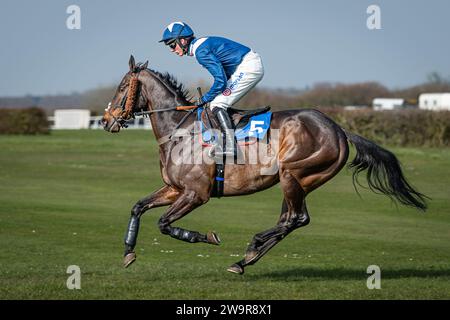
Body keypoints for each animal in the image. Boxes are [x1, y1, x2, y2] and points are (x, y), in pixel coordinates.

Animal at [100, 55, 428, 276]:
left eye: (121, 87)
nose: (105, 120)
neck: (180, 130)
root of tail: (339, 129)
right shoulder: (174, 188)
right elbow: (138, 207)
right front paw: (128, 253)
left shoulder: (196, 193)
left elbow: (164, 224)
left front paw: (206, 236)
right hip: (299, 182)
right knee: (291, 220)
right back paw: (244, 260)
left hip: (293, 174)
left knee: (296, 219)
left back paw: (252, 246)